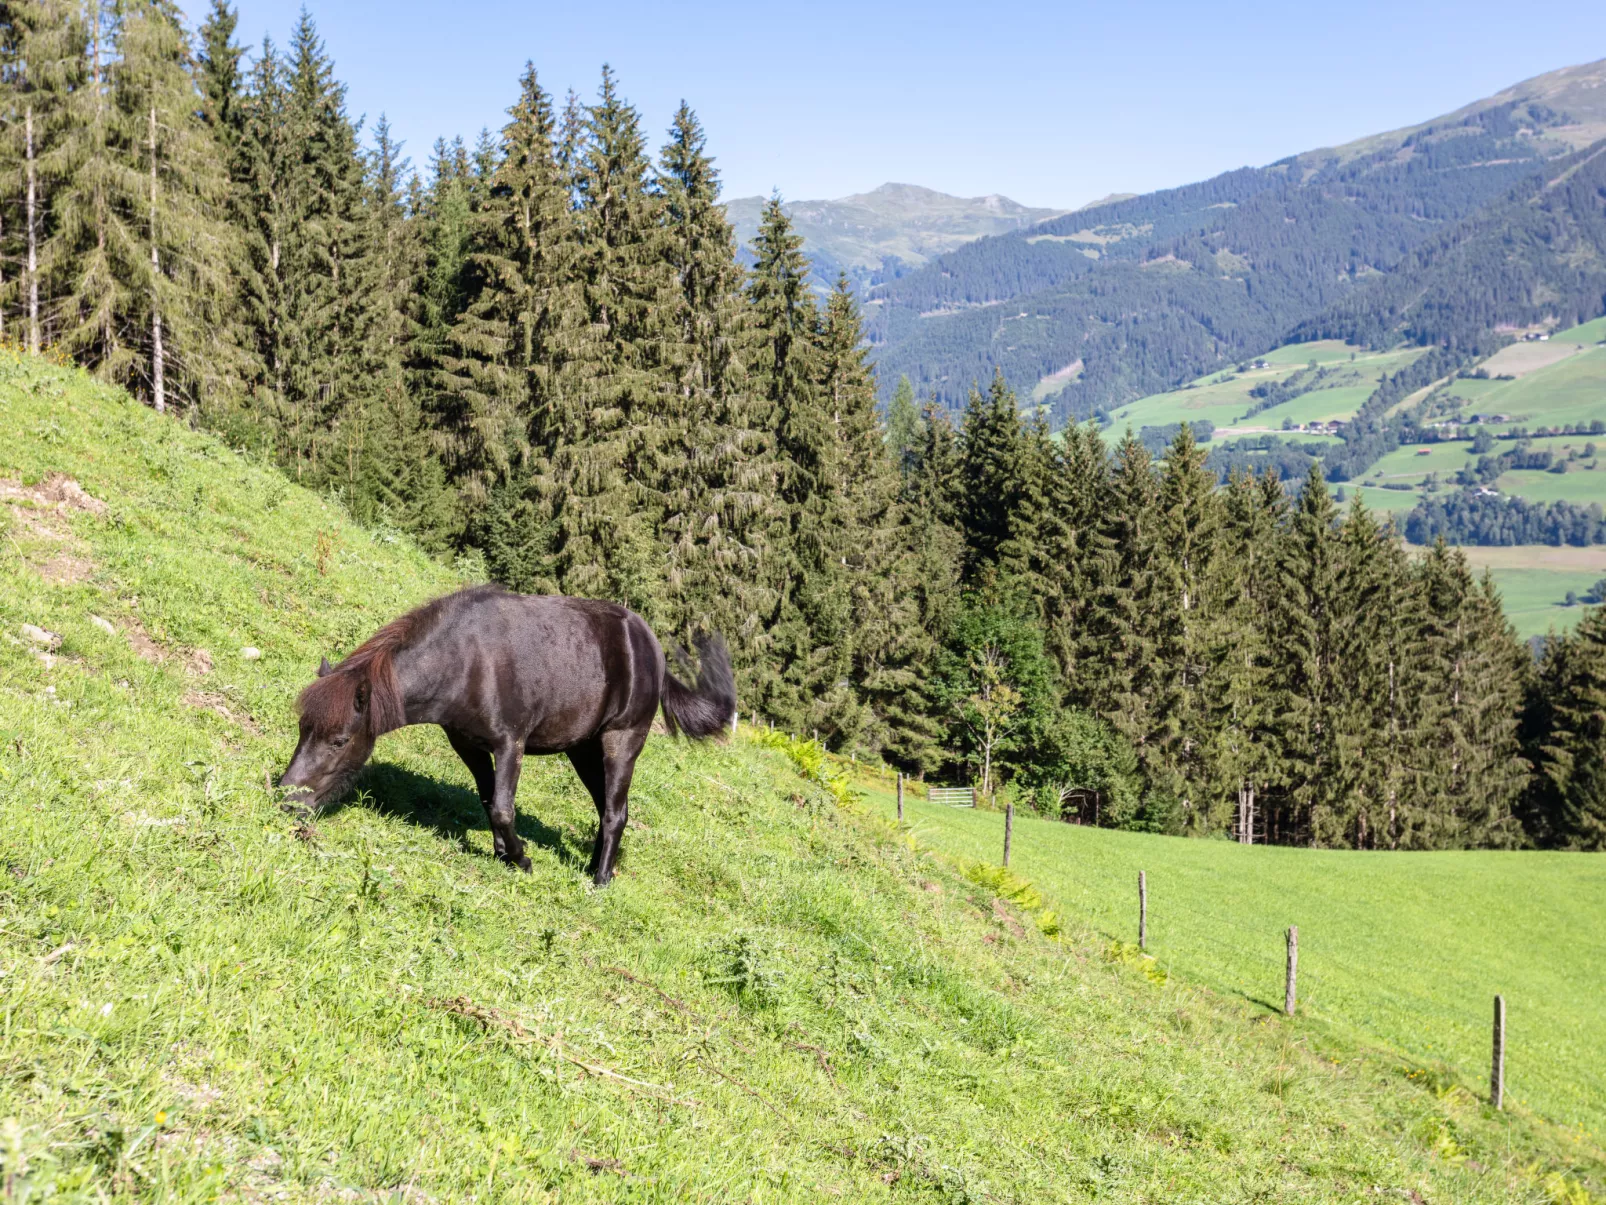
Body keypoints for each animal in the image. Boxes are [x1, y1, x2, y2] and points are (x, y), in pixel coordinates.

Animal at [281, 584, 735, 886]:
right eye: (303, 728)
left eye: (339, 741)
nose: (287, 799)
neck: (465, 660)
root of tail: (652, 650)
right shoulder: (468, 744)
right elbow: (488, 800)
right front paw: (503, 853)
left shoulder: (509, 744)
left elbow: (502, 807)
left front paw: (520, 860)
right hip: (583, 750)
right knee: (606, 805)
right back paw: (595, 865)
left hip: (621, 742)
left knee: (615, 811)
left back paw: (601, 879)